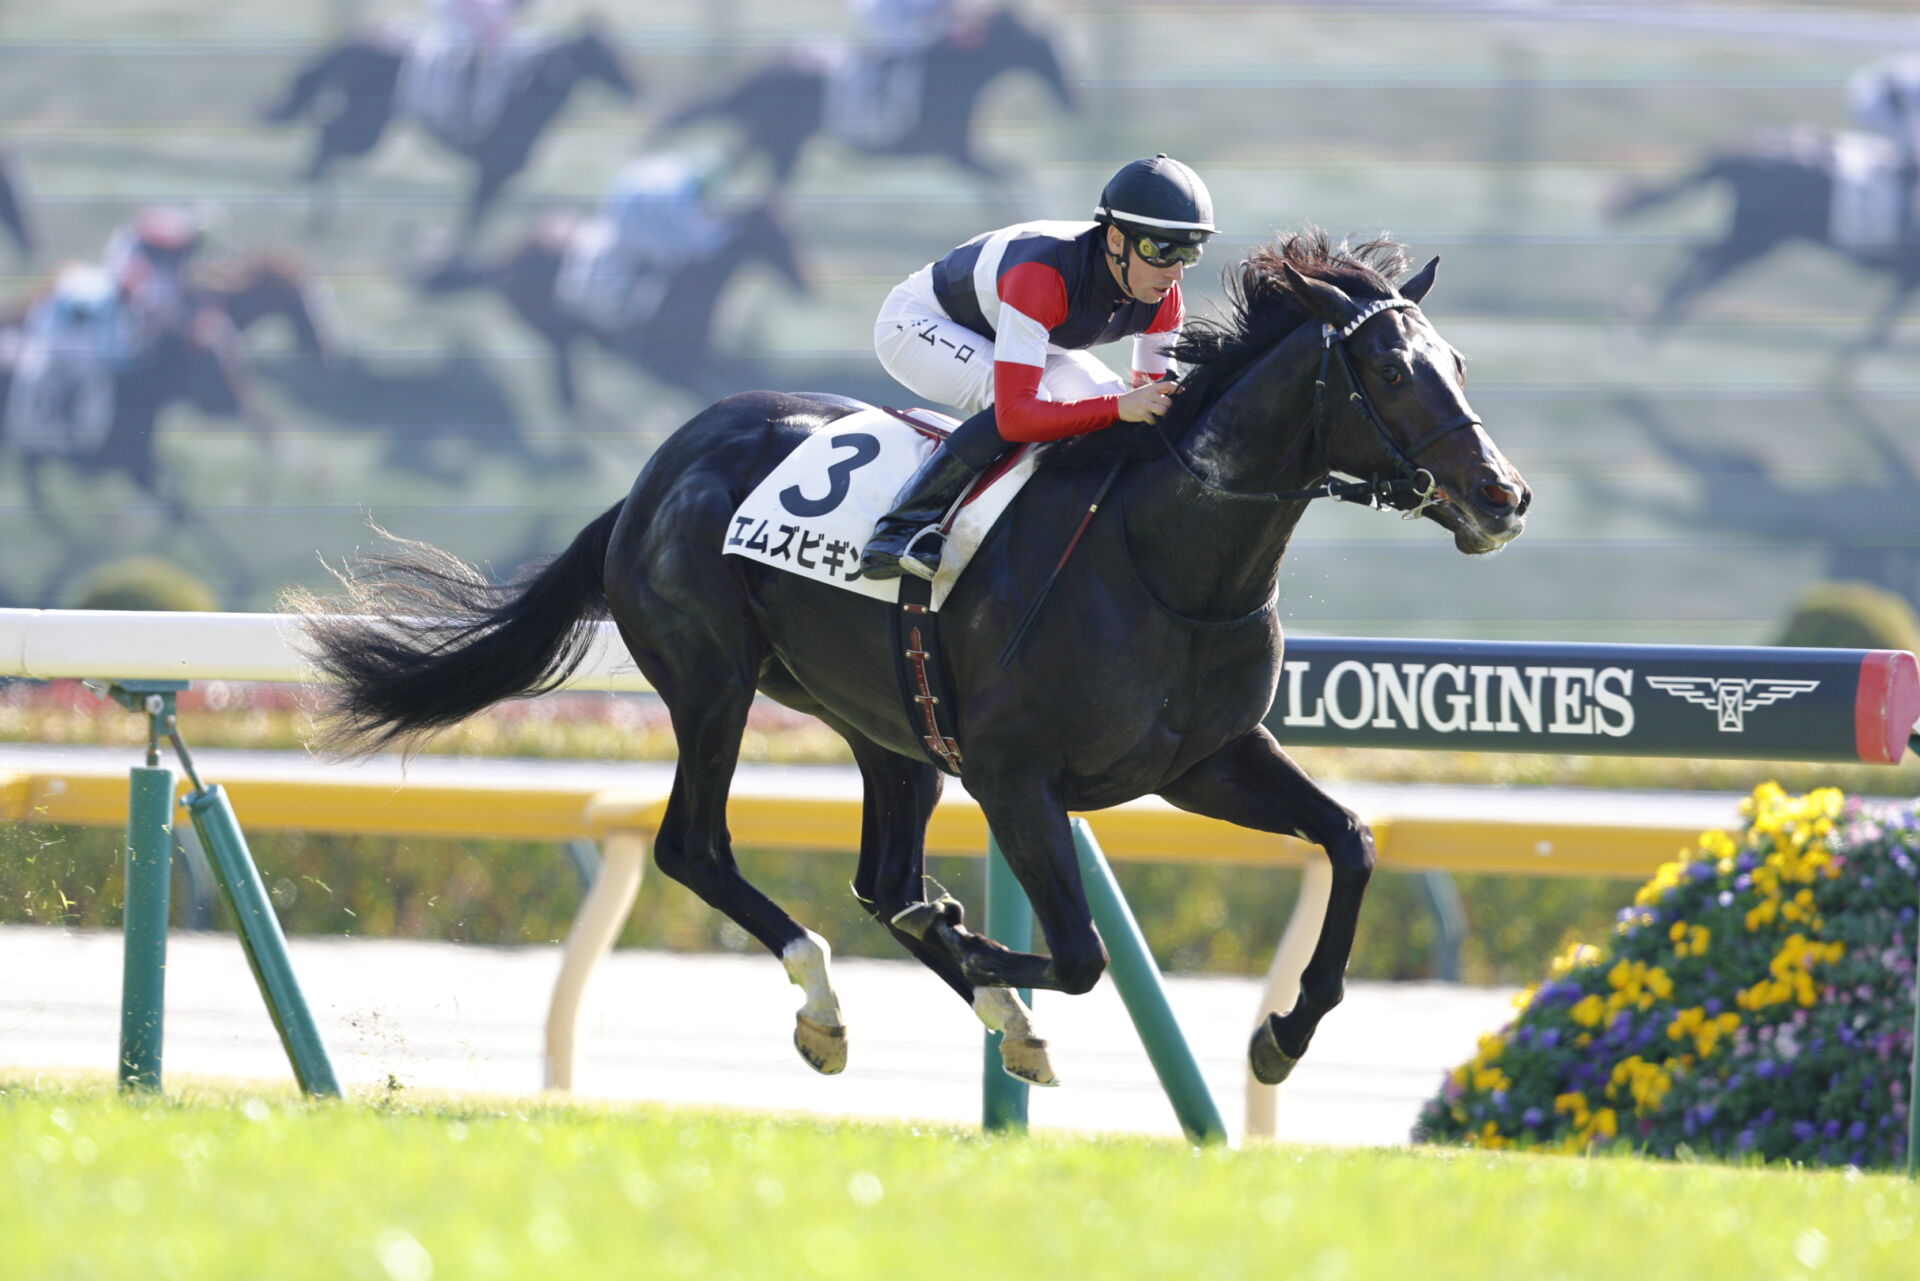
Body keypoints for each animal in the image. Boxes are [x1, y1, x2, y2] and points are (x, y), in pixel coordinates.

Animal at [260, 21, 639, 244]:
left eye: (619, 50)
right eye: (606, 54)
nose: (636, 88)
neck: (525, 92)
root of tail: (355, 40)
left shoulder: (496, 174)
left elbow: (476, 219)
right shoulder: (491, 169)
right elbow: (474, 220)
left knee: (327, 135)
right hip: (366, 125)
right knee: (328, 137)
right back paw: (317, 209)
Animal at [292, 231, 1530, 1089]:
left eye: (1459, 361)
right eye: (1391, 372)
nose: (1501, 496)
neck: (1168, 561)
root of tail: (654, 475)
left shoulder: (1204, 762)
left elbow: (1351, 840)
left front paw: (1284, 1030)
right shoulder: (1016, 777)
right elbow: (1075, 953)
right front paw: (973, 947)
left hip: (888, 727)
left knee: (880, 877)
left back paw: (974, 1006)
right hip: (713, 682)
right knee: (697, 847)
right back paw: (830, 1003)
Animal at [414, 200, 810, 410]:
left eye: (794, 232)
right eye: (778, 236)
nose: (804, 282)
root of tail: (502, 262)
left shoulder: (703, 356)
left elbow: (736, 373)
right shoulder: (670, 371)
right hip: (557, 332)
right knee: (569, 395)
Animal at [657, 5, 1074, 193]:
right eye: (1048, 47)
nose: (1076, 99)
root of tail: (762, 70)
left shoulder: (960, 154)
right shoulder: (954, 152)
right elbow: (1014, 176)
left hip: (769, 137)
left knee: (731, 163)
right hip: (783, 143)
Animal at [1610, 130, 1920, 359]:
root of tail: (1737, 150)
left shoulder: (1905, 279)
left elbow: (1880, 328)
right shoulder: (1907, 274)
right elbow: (1878, 331)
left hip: (1753, 237)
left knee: (1701, 255)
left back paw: (1650, 316)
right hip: (1756, 237)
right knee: (1705, 261)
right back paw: (1650, 322)